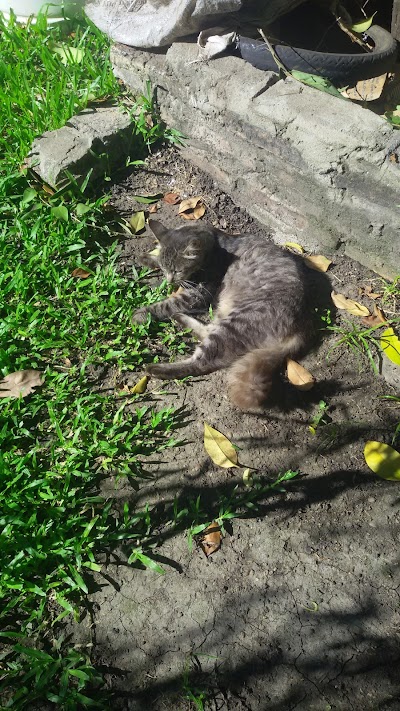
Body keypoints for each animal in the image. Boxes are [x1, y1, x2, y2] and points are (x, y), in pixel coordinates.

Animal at [134, 221, 312, 412]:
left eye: (178, 270)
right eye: (164, 268)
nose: (169, 281)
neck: (214, 245)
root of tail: (301, 327)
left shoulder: (197, 295)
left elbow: (165, 305)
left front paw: (142, 313)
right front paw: (147, 258)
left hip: (236, 323)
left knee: (200, 363)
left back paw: (156, 368)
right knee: (206, 330)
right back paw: (179, 318)